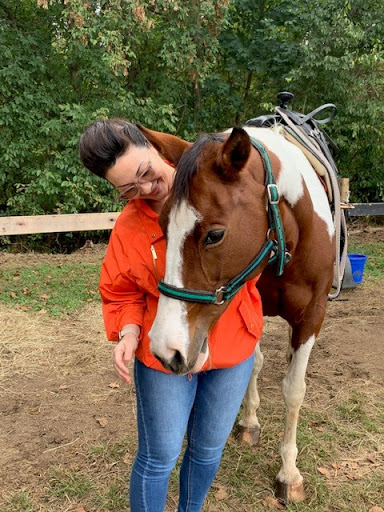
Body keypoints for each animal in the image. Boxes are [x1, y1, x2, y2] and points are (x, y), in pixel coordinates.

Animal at [139, 122, 336, 502]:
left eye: (215, 235)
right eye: (162, 224)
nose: (164, 349)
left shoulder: (312, 317)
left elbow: (294, 389)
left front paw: (289, 473)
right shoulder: (249, 307)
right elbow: (253, 364)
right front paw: (249, 422)